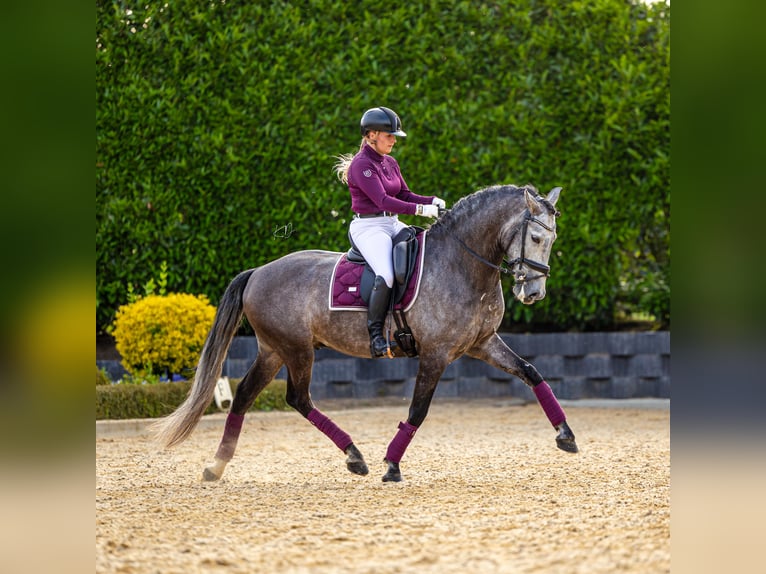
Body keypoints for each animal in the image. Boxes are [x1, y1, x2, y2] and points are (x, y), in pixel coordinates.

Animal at [153, 184, 580, 482]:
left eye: (554, 240)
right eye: (536, 238)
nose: (533, 293)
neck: (462, 264)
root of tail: (259, 271)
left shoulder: (482, 344)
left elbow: (531, 373)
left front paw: (565, 435)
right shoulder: (436, 354)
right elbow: (418, 410)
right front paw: (391, 465)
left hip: (273, 350)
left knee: (245, 396)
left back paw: (218, 465)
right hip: (296, 349)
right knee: (297, 398)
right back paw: (354, 456)